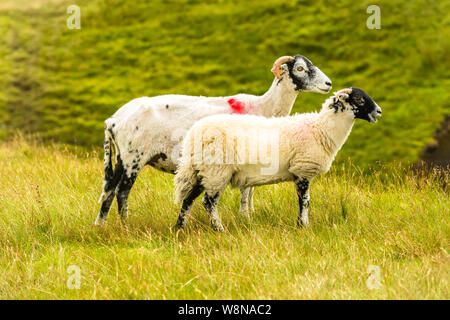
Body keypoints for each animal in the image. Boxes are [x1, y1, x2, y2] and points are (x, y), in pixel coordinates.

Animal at [95, 54, 332, 225]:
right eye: (300, 68)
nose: (329, 84)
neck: (265, 106)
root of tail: (113, 120)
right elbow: (246, 192)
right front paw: (245, 217)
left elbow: (251, 191)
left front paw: (249, 214)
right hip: (134, 157)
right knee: (122, 191)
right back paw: (125, 223)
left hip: (121, 157)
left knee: (109, 189)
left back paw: (102, 224)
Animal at [174, 89, 382, 231]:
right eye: (359, 98)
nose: (379, 111)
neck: (321, 129)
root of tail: (193, 135)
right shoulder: (303, 170)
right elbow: (305, 201)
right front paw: (303, 226)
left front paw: (301, 224)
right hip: (216, 171)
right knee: (208, 202)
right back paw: (219, 229)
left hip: (201, 171)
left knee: (188, 200)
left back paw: (180, 229)